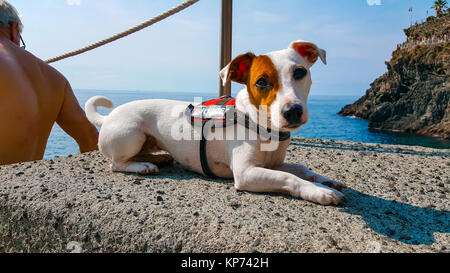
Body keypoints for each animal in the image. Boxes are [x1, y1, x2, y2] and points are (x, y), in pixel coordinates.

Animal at [86, 40, 346, 204]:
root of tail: (109, 116)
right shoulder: (246, 173)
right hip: (132, 135)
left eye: (300, 72)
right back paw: (142, 167)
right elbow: (289, 177)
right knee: (116, 164)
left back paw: (158, 159)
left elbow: (301, 168)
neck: (261, 125)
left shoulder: (273, 164)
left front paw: (325, 180)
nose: (292, 111)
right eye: (261, 82)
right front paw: (320, 192)